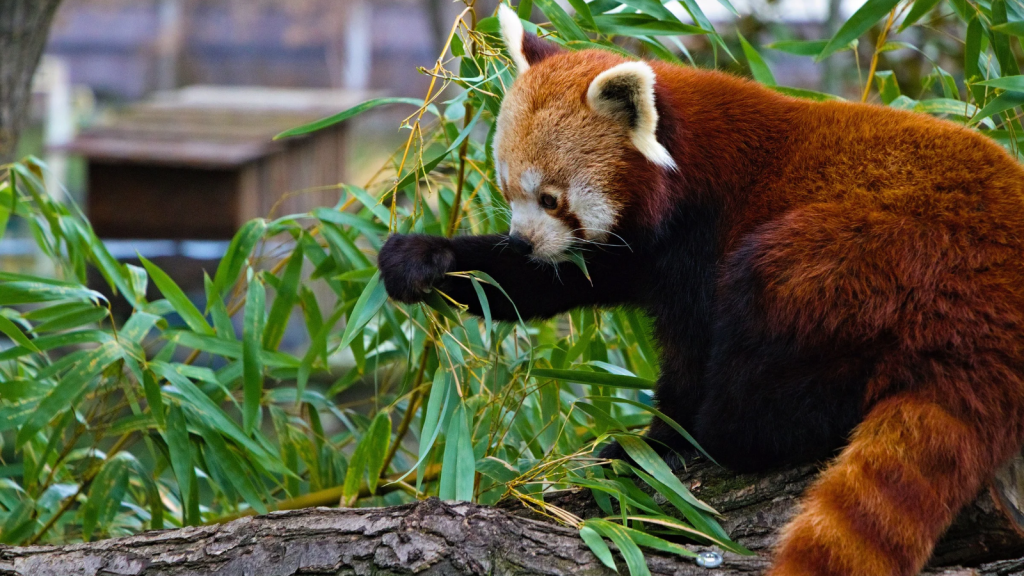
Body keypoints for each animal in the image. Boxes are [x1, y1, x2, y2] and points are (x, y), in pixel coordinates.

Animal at [374, 5, 1024, 573]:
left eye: (552, 199)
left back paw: (726, 435)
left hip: (873, 255)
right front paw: (424, 258)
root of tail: (991, 329)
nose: (525, 241)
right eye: (509, 191)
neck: (680, 166)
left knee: (769, 300)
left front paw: (658, 444)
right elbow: (545, 282)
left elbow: (690, 349)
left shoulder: (703, 234)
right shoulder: (636, 249)